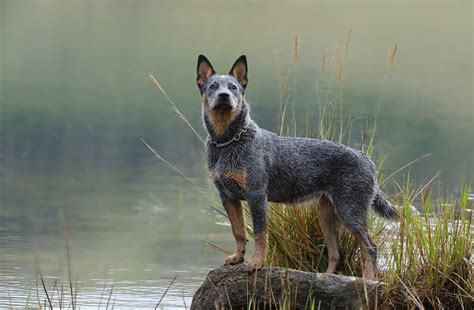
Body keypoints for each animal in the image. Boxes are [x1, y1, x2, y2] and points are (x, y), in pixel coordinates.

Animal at [196, 54, 400, 280]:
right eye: (213, 86)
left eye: (233, 87)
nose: (223, 95)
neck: (228, 142)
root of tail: (367, 159)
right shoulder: (228, 197)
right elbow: (238, 231)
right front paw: (238, 258)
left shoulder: (256, 195)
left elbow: (259, 234)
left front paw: (256, 262)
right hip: (327, 215)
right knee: (337, 252)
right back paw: (324, 277)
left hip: (350, 211)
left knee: (370, 247)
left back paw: (368, 280)